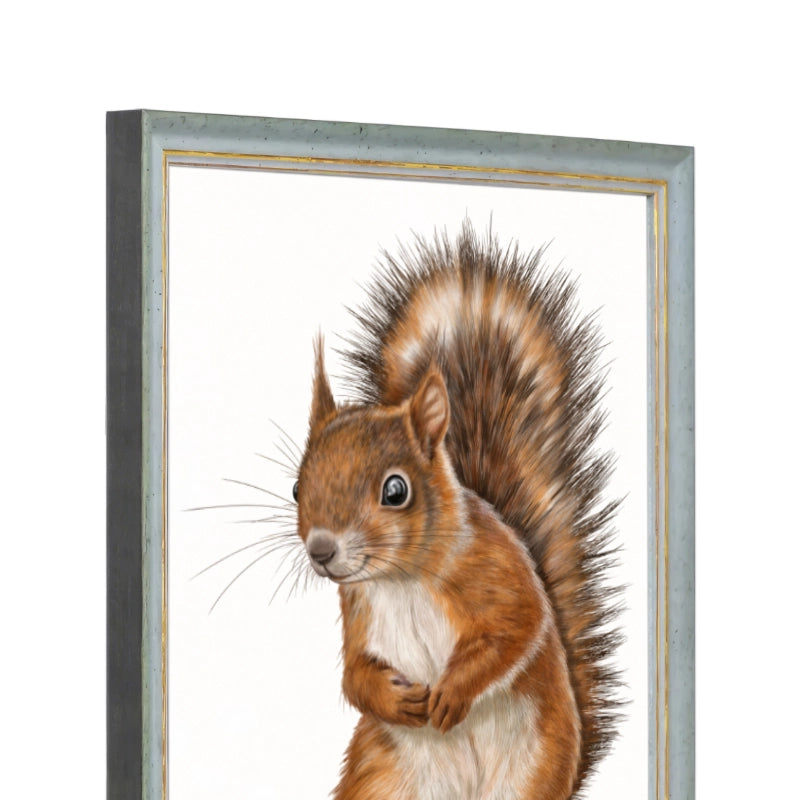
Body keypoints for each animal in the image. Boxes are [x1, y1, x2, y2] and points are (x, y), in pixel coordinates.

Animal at [292, 222, 622, 800]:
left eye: (395, 490)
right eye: (295, 488)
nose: (322, 551)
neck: (402, 579)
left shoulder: (497, 569)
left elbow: (516, 629)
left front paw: (451, 692)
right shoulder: (358, 610)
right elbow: (354, 675)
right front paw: (395, 699)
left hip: (530, 772)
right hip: (383, 777)